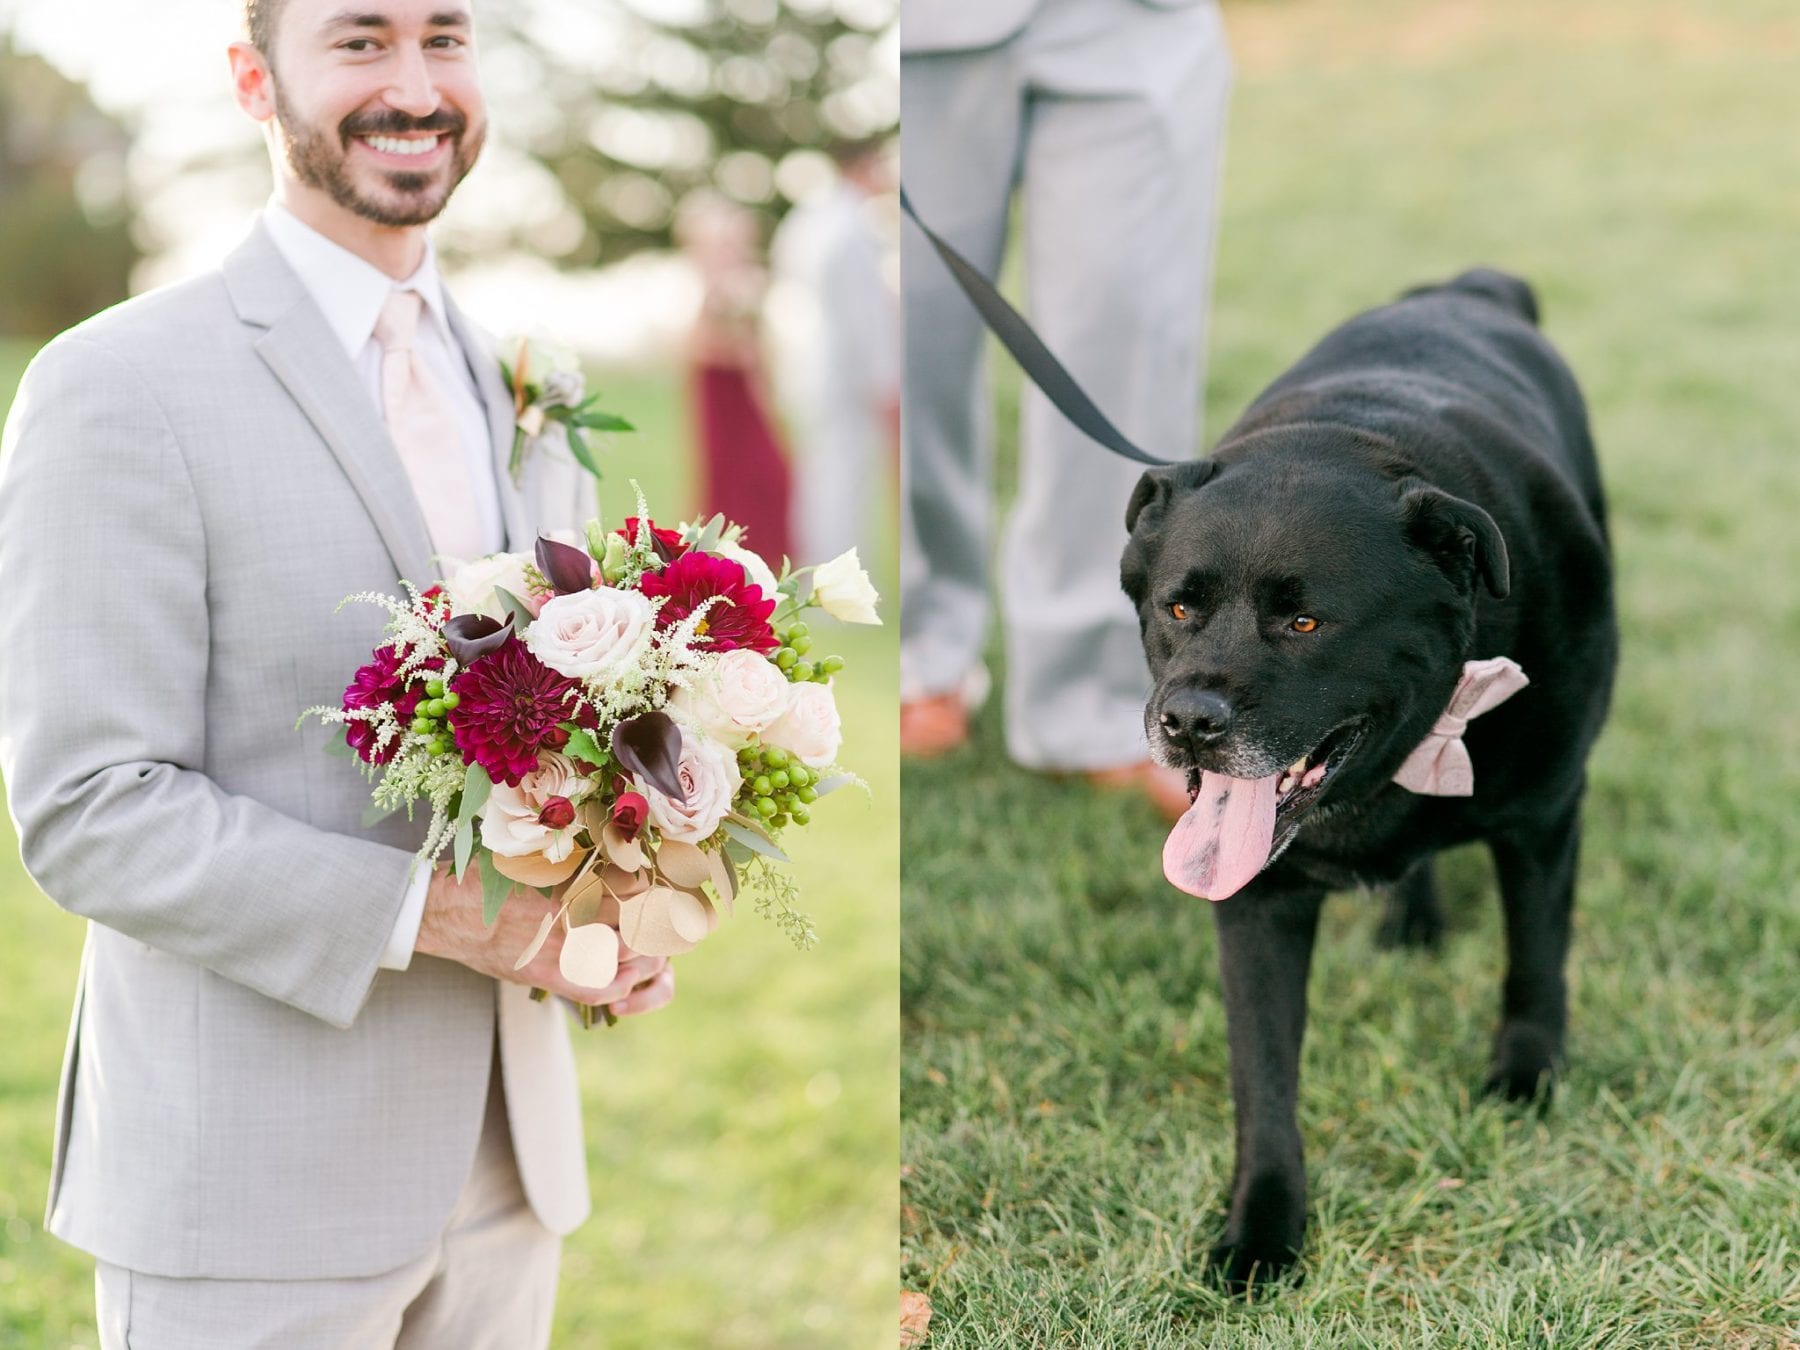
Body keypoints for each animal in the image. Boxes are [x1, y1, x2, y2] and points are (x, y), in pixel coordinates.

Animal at [1123, 271, 1620, 1288]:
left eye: (1306, 623)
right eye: (1177, 608)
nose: (1187, 722)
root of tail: (1469, 286)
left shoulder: (1547, 816)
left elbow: (1535, 959)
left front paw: (1526, 1081)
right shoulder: (1255, 900)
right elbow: (1263, 1073)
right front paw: (1262, 1229)